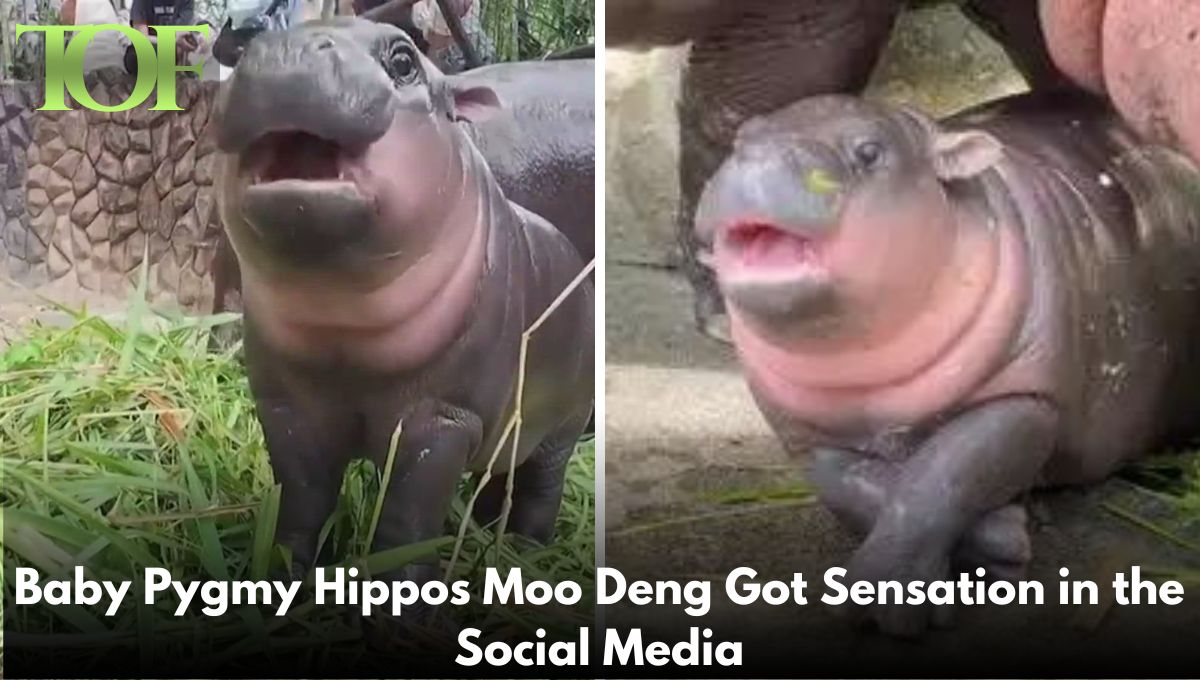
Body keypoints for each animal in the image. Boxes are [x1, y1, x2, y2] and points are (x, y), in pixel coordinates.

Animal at [214, 21, 595, 604]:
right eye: (241, 52)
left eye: (403, 60)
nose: (285, 50)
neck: (340, 329)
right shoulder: (287, 407)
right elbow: (301, 501)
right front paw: (284, 579)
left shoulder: (443, 418)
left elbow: (408, 518)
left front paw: (402, 602)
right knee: (500, 477)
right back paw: (489, 533)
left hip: (563, 428)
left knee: (540, 486)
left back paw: (528, 553)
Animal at [700, 90, 1200, 638]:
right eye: (742, 135)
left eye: (869, 152)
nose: (757, 160)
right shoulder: (810, 433)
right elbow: (851, 484)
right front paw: (1004, 536)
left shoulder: (1025, 399)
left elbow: (940, 475)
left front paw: (893, 604)